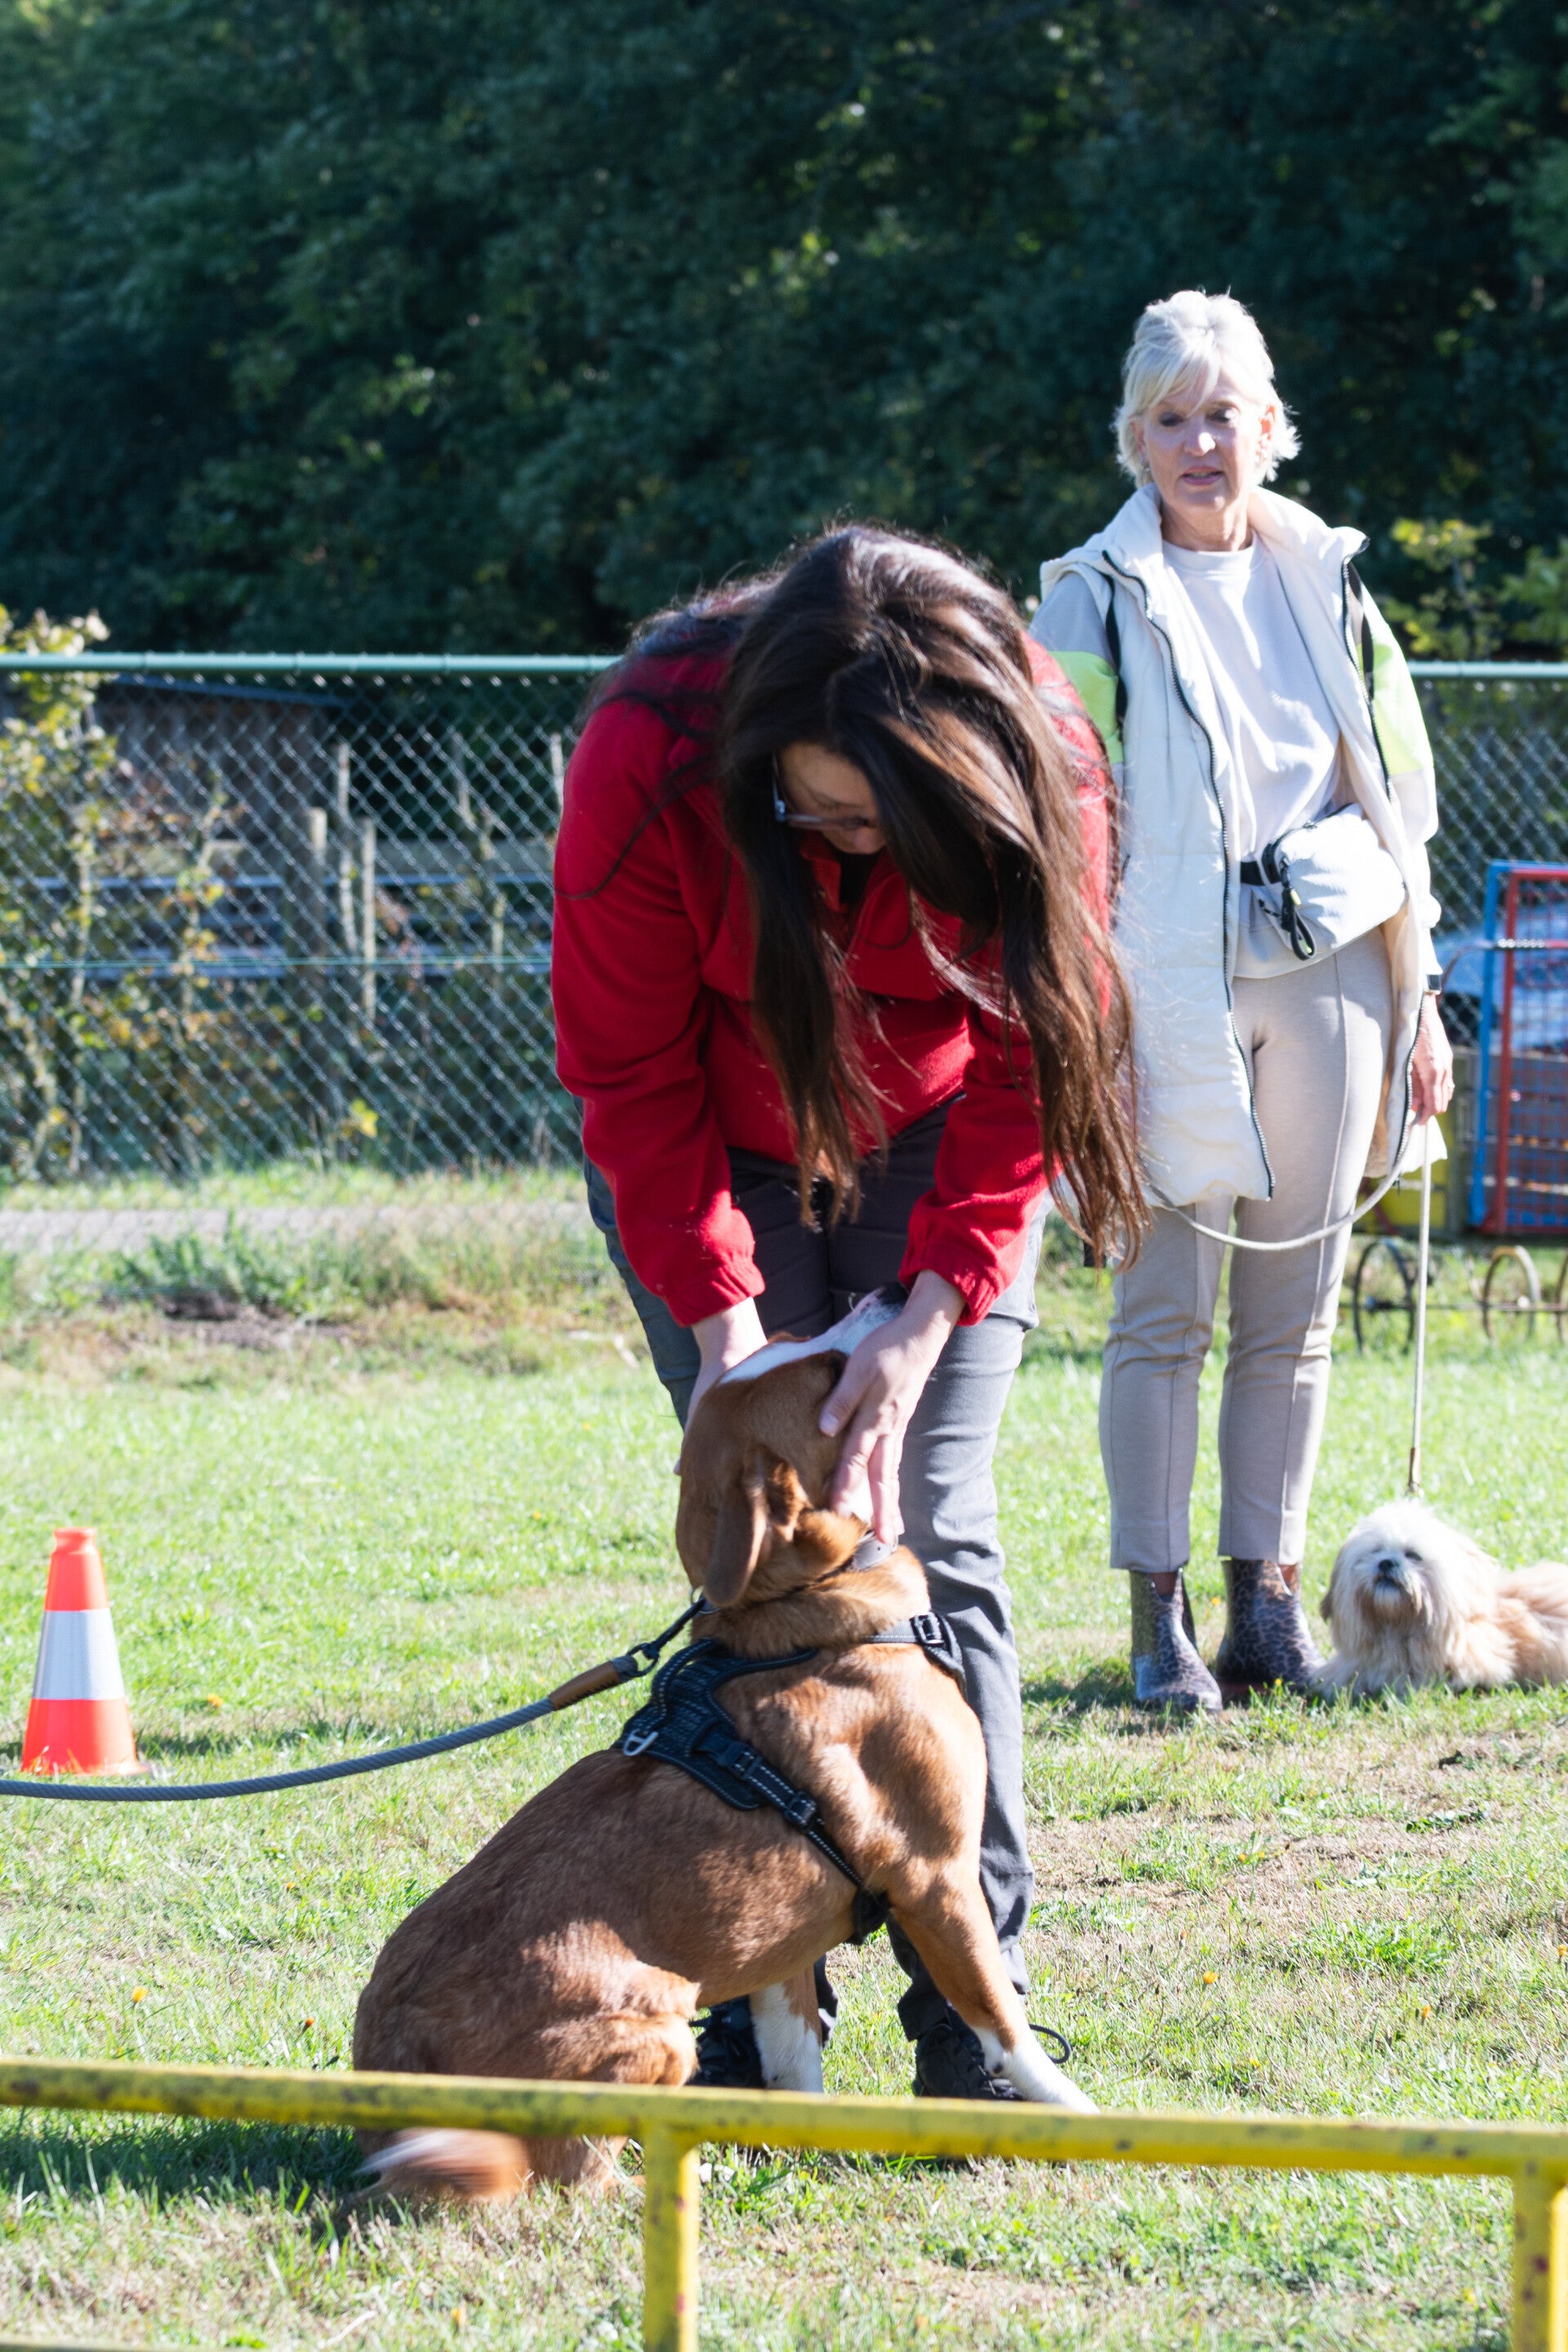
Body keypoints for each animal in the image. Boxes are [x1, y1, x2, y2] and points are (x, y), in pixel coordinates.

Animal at [353, 1304, 1091, 2201]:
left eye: (800, 1344)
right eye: (834, 1378)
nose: (889, 1297)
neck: (805, 1618)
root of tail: (397, 2091)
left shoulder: (781, 1944)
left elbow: (795, 2063)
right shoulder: (938, 1882)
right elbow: (1004, 2026)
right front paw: (1078, 2114)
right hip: (663, 2017)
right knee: (571, 2177)